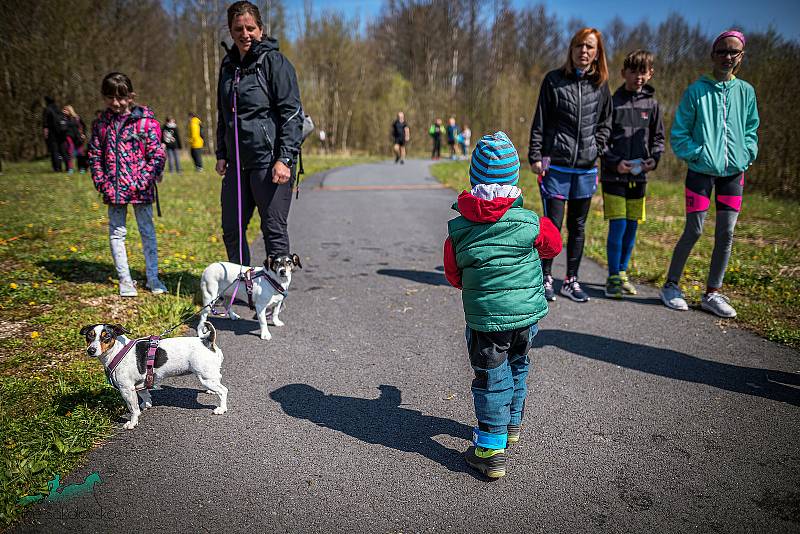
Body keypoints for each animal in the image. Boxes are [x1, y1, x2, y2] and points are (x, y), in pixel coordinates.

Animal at [80, 322, 228, 432]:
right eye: (89, 336)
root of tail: (207, 340)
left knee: (223, 391)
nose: (91, 350)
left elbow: (133, 409)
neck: (117, 350)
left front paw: (132, 423)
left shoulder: (126, 389)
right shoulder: (141, 384)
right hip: (210, 376)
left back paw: (221, 409)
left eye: (107, 337)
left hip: (206, 378)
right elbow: (145, 395)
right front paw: (146, 405)